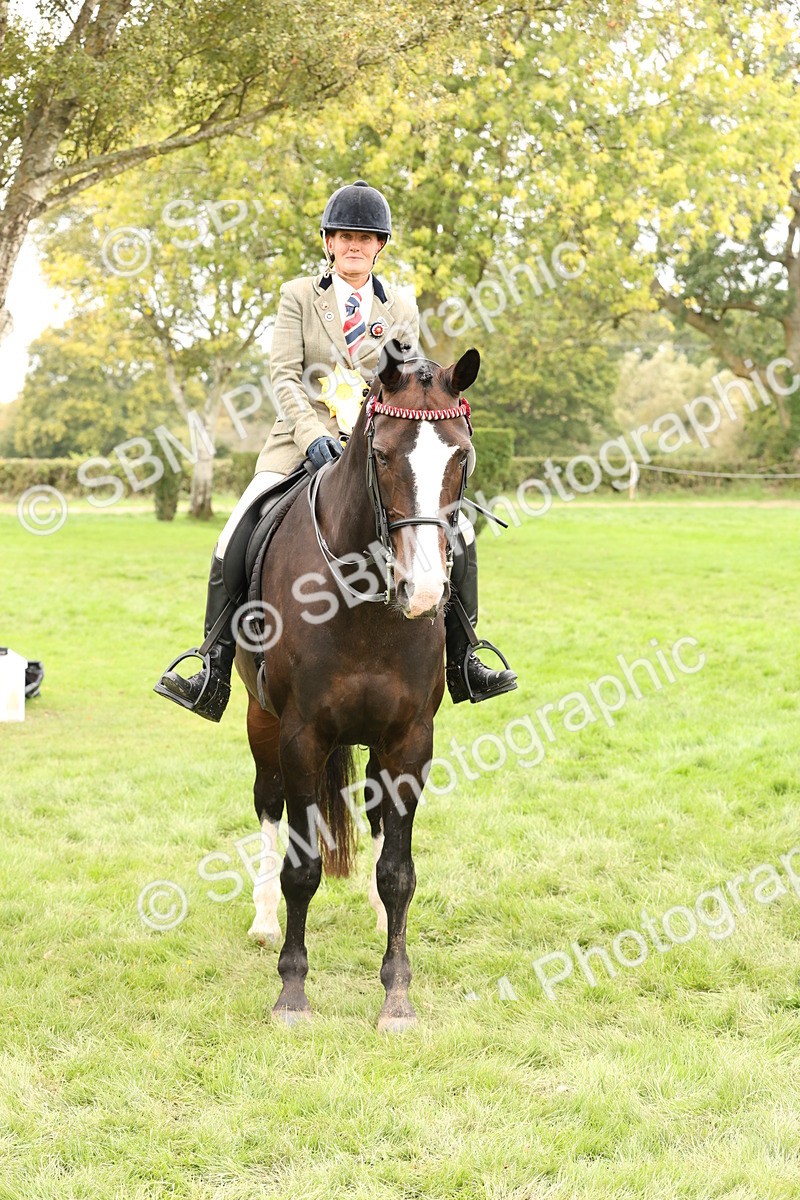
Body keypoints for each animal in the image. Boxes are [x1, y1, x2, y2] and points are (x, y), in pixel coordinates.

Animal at [235, 340, 479, 1031]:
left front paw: (397, 996)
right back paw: (264, 919)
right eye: (383, 454)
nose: (423, 591)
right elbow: (302, 868)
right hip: (261, 724)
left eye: (461, 455)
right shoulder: (301, 736)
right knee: (267, 806)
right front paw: (292, 992)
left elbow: (399, 870)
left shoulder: (410, 740)